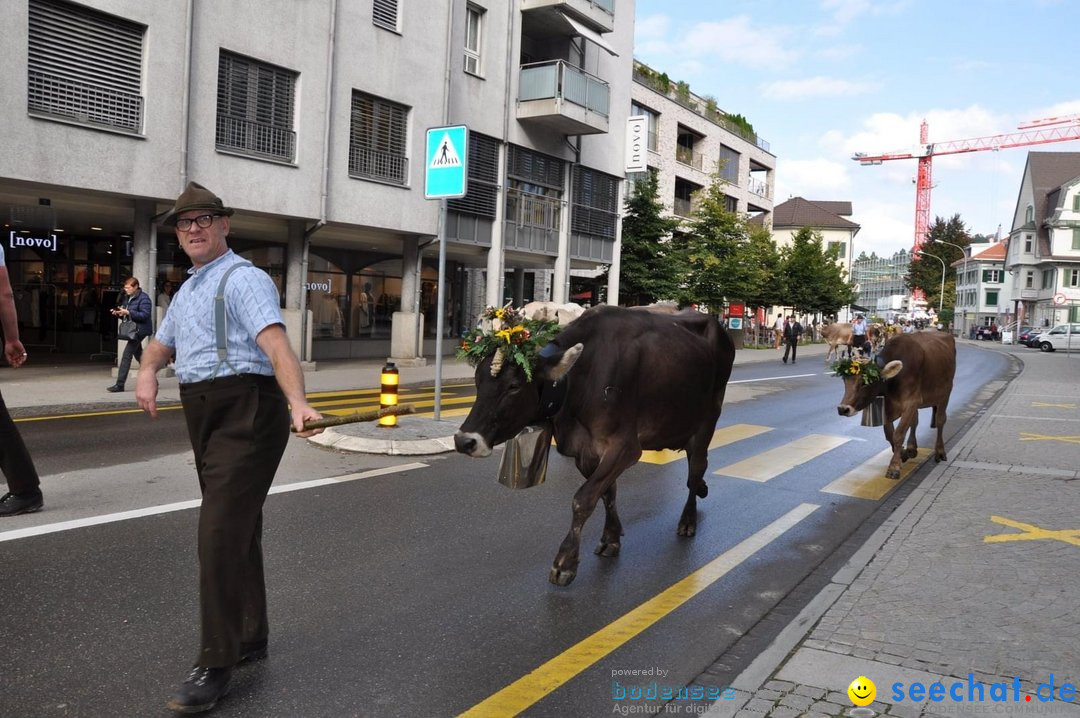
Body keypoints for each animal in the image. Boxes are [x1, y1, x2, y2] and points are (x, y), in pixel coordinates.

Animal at [451, 304, 738, 587]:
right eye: (477, 380)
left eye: (513, 386)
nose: (465, 441)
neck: (579, 381)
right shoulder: (583, 450)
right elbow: (606, 493)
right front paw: (611, 537)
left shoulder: (625, 447)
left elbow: (583, 499)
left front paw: (565, 562)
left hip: (706, 423)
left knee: (695, 471)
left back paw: (688, 521)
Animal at [833, 332, 954, 479]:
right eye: (844, 380)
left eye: (864, 382)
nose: (842, 409)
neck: (893, 383)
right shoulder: (889, 407)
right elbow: (890, 434)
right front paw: (903, 453)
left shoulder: (911, 403)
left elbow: (898, 434)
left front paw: (894, 467)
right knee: (915, 422)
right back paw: (912, 448)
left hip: (945, 394)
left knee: (940, 420)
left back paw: (940, 452)